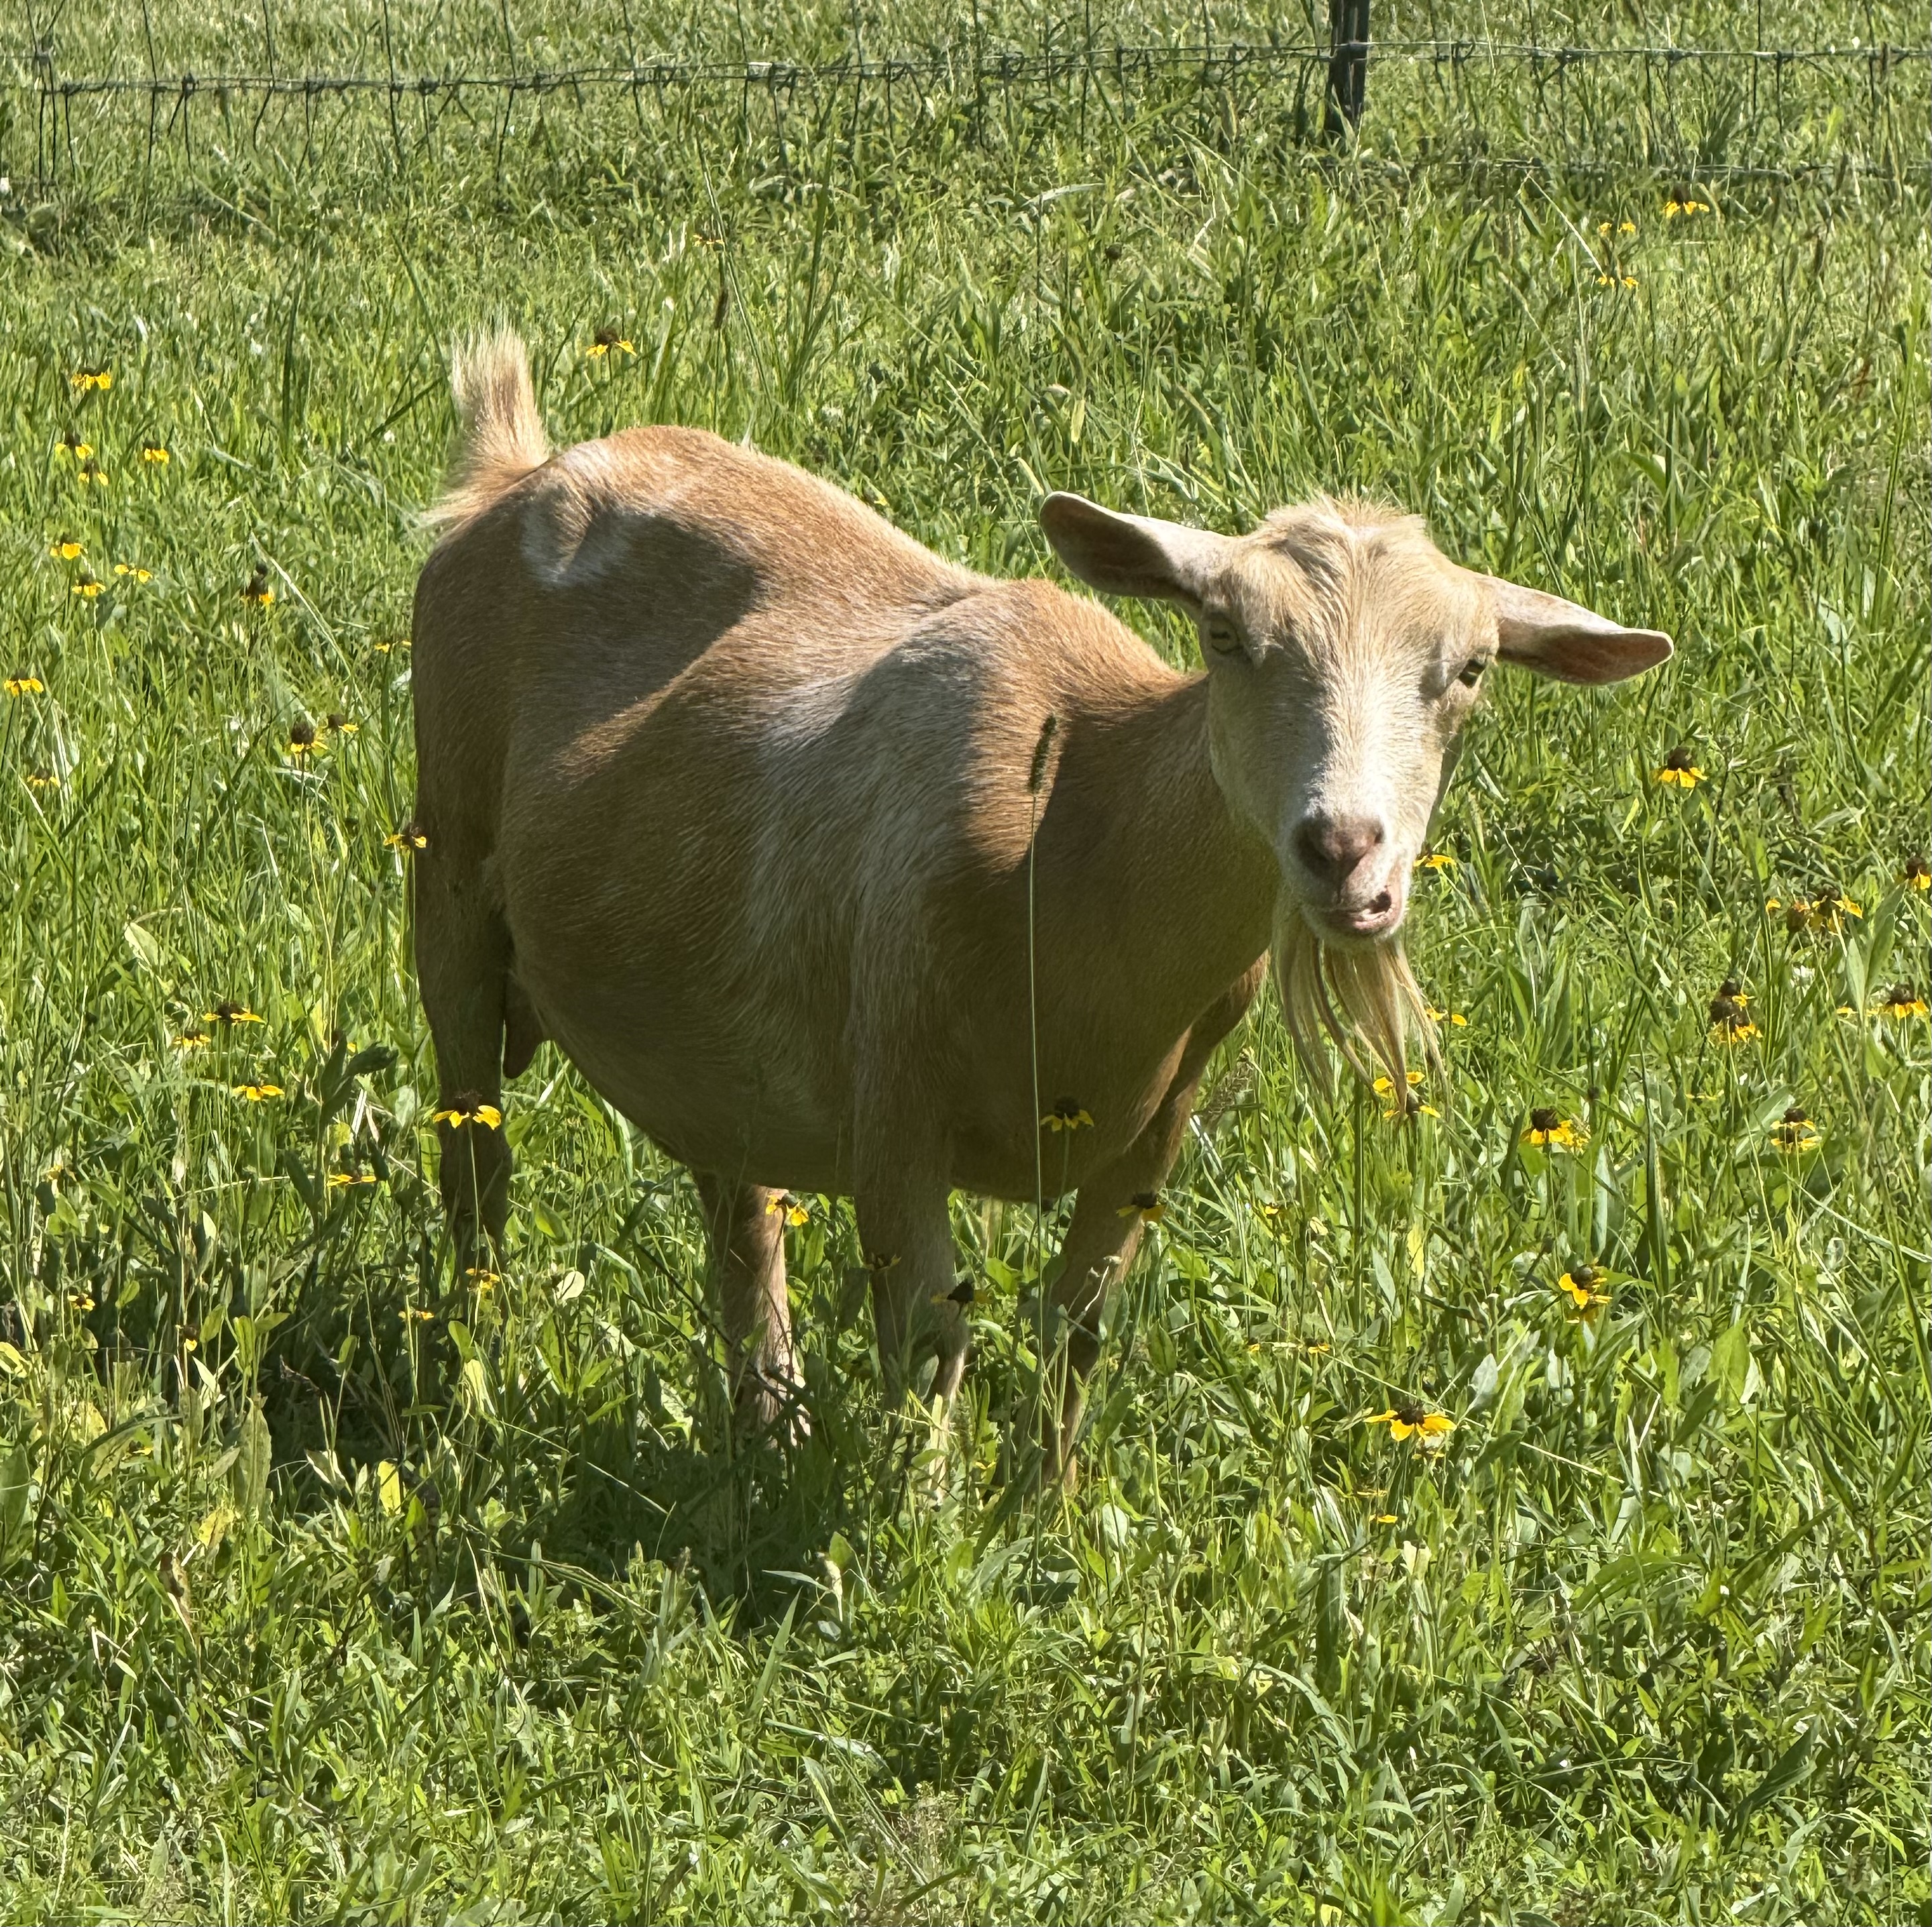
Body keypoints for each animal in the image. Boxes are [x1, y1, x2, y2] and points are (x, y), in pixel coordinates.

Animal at [410, 328, 1670, 1478]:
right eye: (1225, 635)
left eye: (1470, 671)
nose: (1342, 851)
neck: (1077, 824)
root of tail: (515, 472)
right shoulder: (891, 1098)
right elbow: (931, 1334)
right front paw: (920, 1529)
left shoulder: (1159, 1122)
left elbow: (1079, 1324)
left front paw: (1043, 1512)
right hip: (449, 871)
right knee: (475, 1159)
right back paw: (472, 1391)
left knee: (739, 1202)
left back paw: (769, 1422)